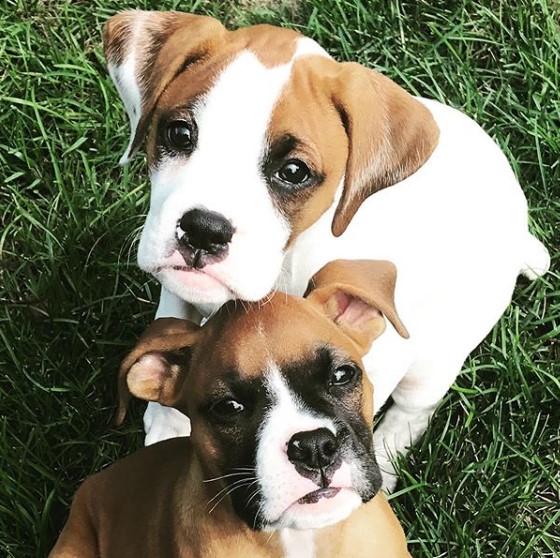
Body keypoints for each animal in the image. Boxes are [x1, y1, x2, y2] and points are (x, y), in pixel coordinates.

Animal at [103, 10, 548, 488]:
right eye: (180, 133)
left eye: (294, 171)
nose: (204, 231)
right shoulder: (180, 293)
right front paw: (166, 425)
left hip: (435, 358)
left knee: (412, 412)